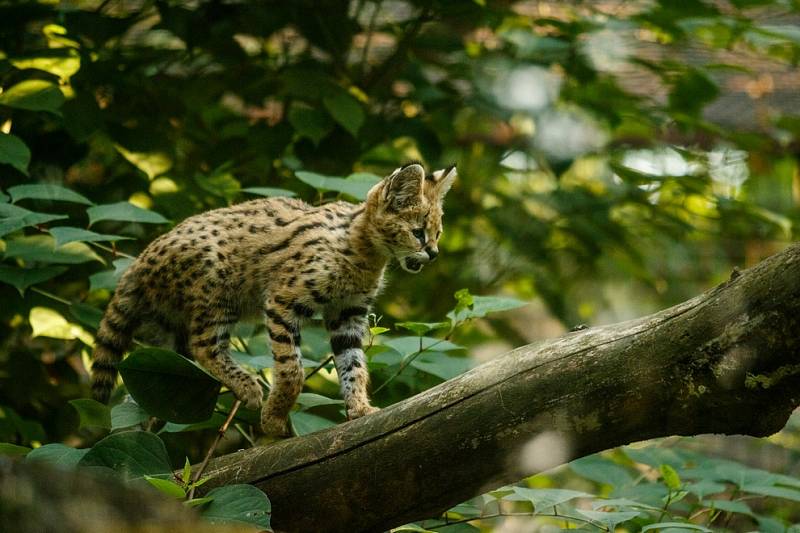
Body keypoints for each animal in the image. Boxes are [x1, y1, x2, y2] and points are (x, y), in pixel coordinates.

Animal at [90, 163, 456, 436]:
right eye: (418, 233)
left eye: (437, 234)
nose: (435, 254)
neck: (368, 253)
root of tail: (136, 263)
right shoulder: (283, 299)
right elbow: (292, 369)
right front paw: (274, 420)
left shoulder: (347, 314)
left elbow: (354, 365)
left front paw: (359, 408)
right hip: (217, 288)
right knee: (203, 346)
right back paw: (248, 387)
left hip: (168, 330)